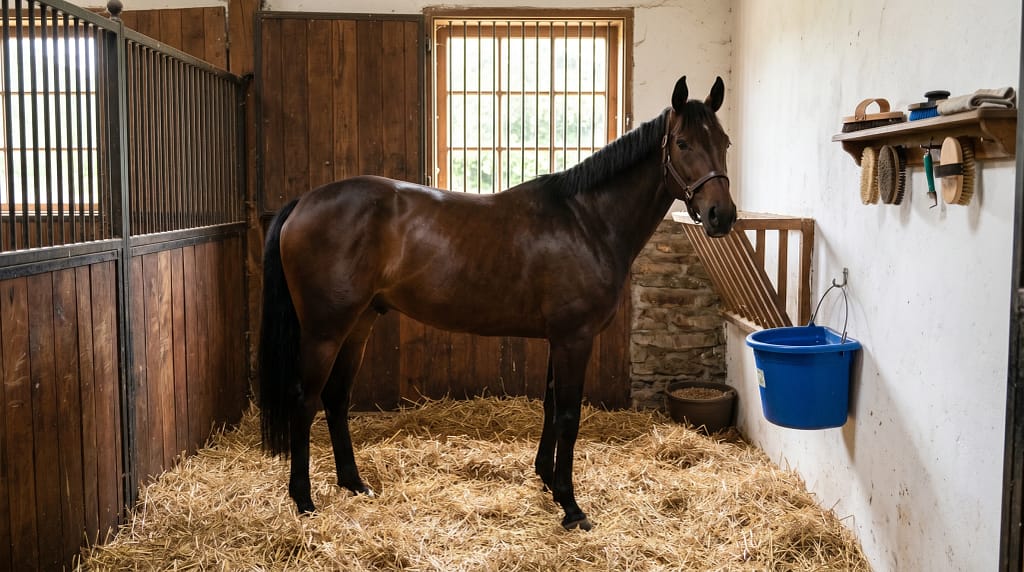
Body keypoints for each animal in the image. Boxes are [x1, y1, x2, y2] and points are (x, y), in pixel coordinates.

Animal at [259, 75, 736, 531]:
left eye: (725, 142)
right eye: (683, 143)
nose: (722, 216)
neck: (587, 221)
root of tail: (303, 202)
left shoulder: (559, 339)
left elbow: (550, 406)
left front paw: (548, 480)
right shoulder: (575, 339)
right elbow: (568, 415)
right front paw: (571, 506)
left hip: (358, 325)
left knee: (336, 398)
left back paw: (354, 483)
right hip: (324, 331)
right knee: (305, 399)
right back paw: (303, 500)